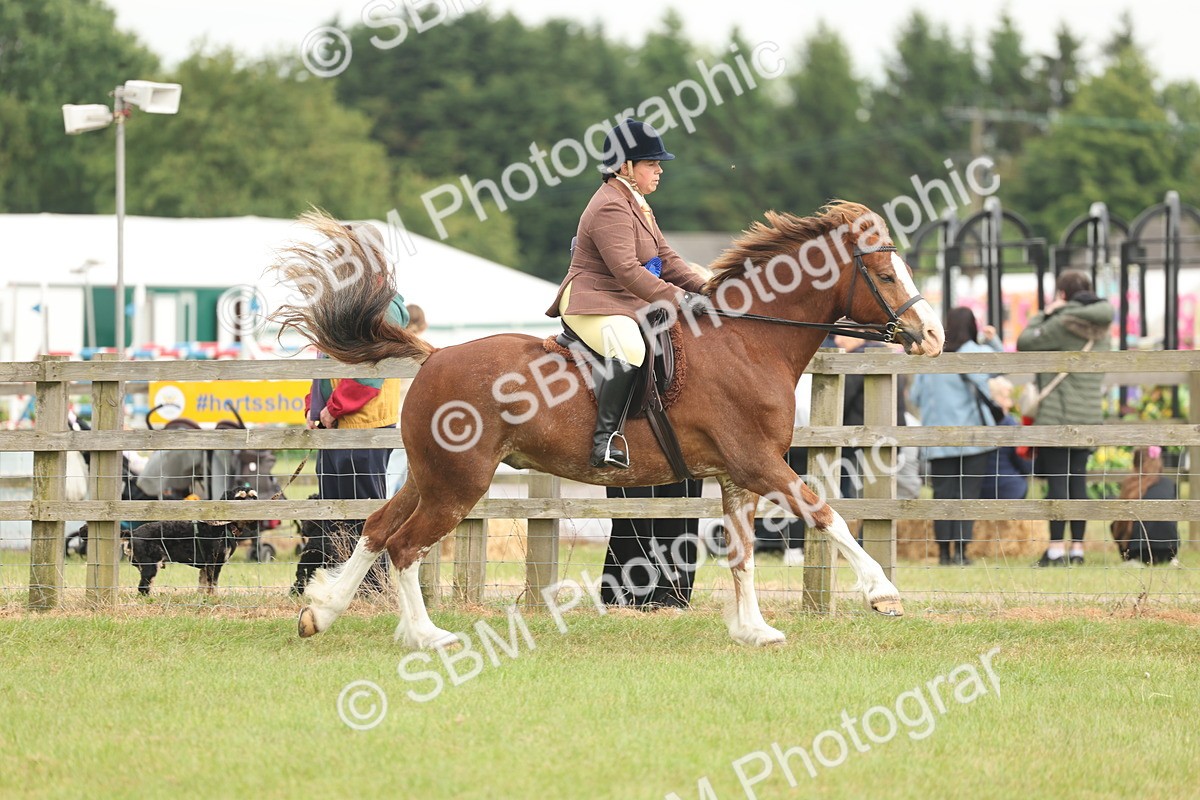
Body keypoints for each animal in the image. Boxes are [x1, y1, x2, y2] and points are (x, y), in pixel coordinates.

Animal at [274, 202, 945, 648]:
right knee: (406, 545)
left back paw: (321, 612)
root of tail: (435, 355)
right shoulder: (760, 464)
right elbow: (826, 513)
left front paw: (754, 630)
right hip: (458, 485)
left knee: (377, 529)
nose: (933, 336)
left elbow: (743, 553)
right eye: (888, 275)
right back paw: (427, 637)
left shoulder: (738, 476)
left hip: (429, 476)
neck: (749, 341)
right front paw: (883, 592)